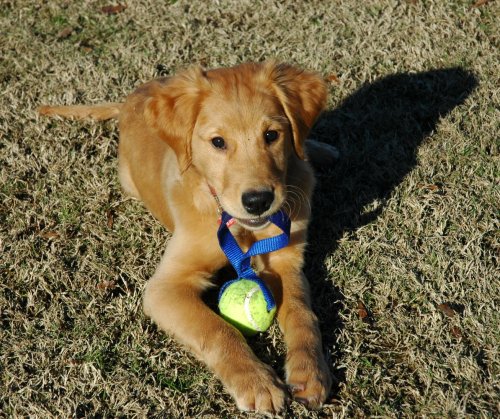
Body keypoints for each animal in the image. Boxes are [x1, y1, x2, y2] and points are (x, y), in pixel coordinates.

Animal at [39, 62, 334, 414]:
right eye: (218, 142)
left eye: (271, 135)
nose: (258, 201)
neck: (236, 225)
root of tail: (132, 97)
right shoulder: (165, 287)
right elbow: (217, 329)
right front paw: (257, 381)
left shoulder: (285, 261)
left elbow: (303, 314)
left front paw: (311, 371)